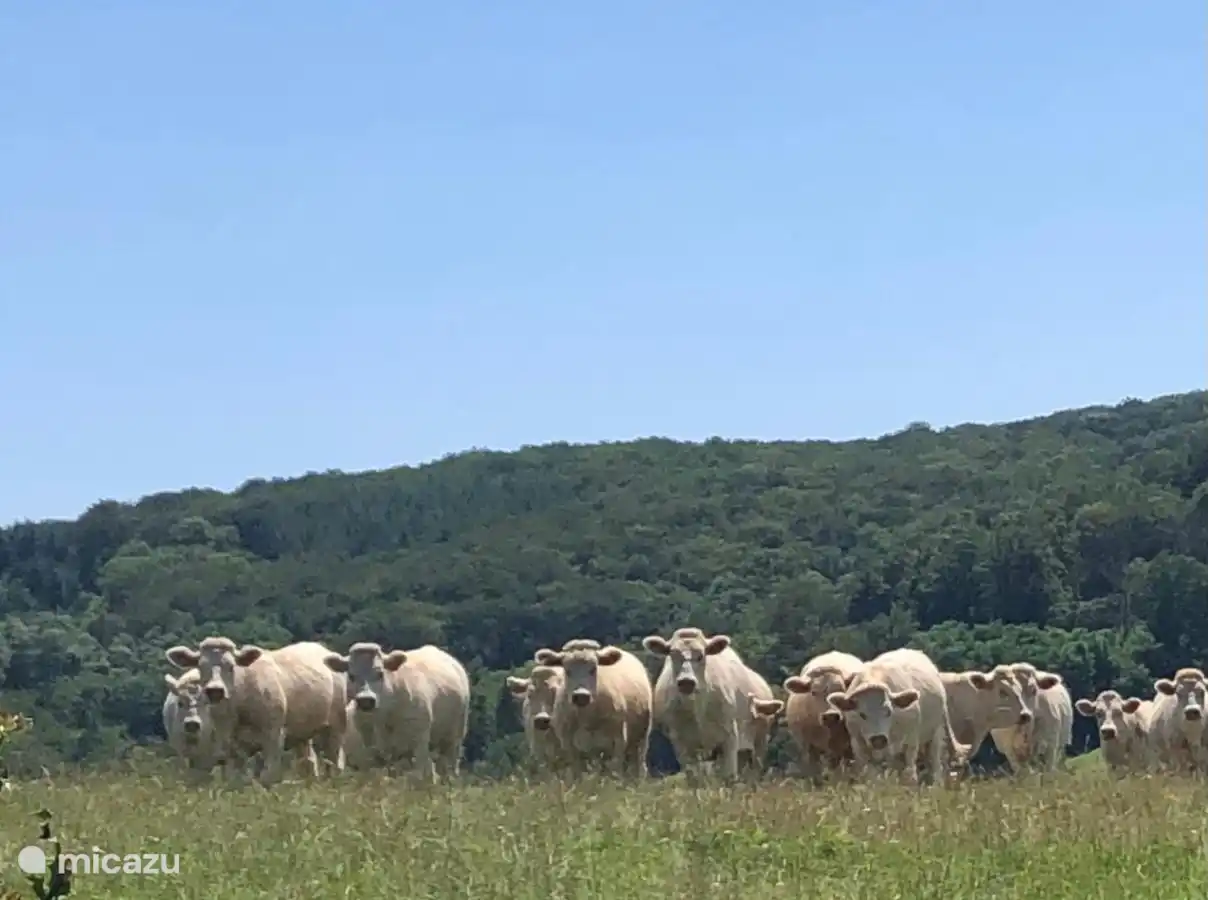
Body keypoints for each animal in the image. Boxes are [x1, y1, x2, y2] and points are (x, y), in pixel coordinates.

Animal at [165, 638, 348, 785]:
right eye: (201, 666)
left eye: (231, 666)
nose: (214, 690)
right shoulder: (230, 745)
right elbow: (235, 778)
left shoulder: (274, 735)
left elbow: (268, 776)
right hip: (303, 732)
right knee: (308, 762)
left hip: (336, 726)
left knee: (334, 760)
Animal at [323, 642, 469, 782]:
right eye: (351, 676)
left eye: (380, 673)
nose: (366, 700)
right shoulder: (371, 749)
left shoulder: (419, 741)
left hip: (454, 736)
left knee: (448, 766)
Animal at [531, 642, 652, 777]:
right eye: (567, 670)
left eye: (593, 669)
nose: (581, 695)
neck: (587, 717)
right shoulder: (569, 745)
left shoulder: (618, 740)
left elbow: (615, 771)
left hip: (641, 739)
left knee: (638, 766)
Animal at [641, 627, 771, 780]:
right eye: (673, 655)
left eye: (701, 656)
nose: (686, 681)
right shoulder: (680, 742)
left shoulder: (730, 737)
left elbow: (729, 775)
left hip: (757, 744)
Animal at [820, 647, 970, 786]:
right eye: (861, 714)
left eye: (888, 711)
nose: (878, 739)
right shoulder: (859, 746)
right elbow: (871, 777)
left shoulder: (910, 741)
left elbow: (910, 774)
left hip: (935, 732)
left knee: (934, 763)